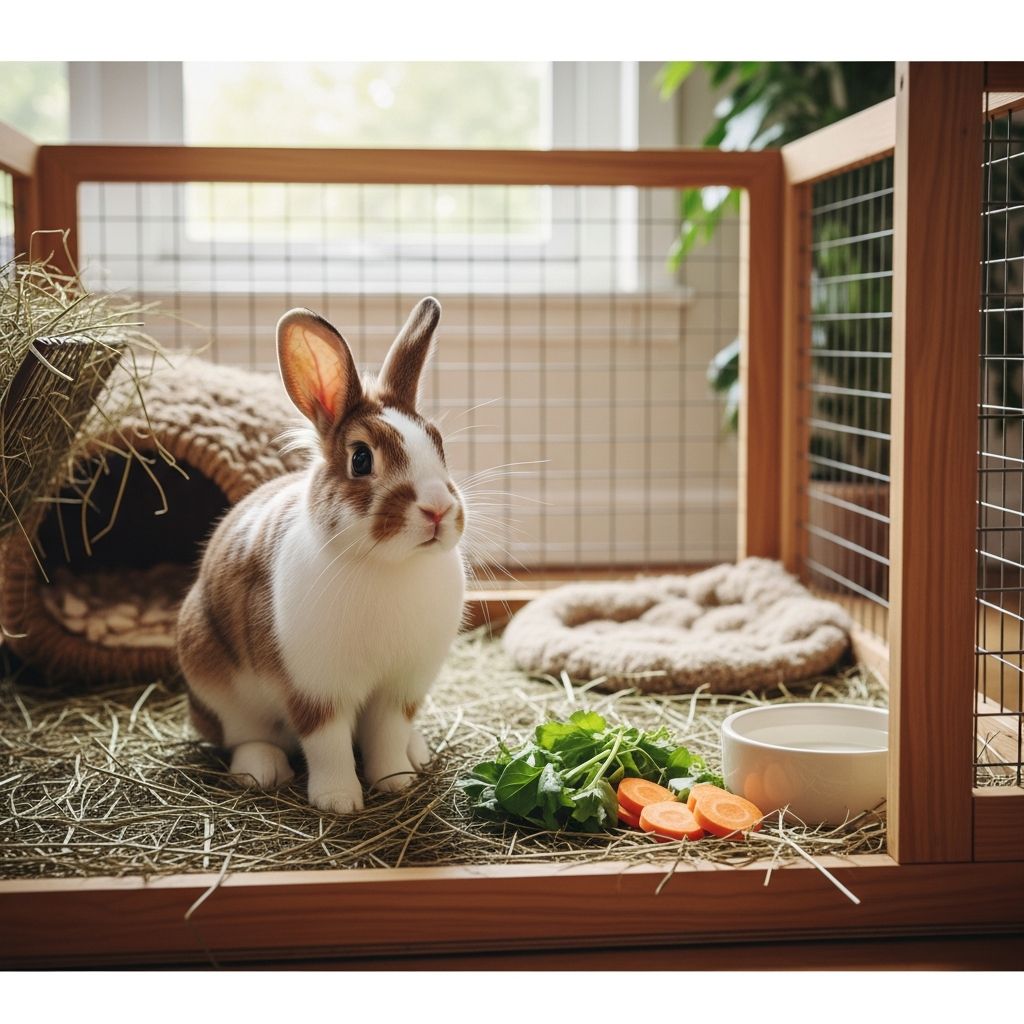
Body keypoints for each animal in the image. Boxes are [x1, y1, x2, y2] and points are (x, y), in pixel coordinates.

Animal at [177, 297, 466, 814]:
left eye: (438, 444)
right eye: (361, 459)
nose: (437, 509)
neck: (389, 566)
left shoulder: (401, 690)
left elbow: (387, 734)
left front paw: (396, 781)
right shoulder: (315, 691)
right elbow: (328, 744)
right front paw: (339, 801)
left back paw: (417, 753)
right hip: (212, 677)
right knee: (243, 735)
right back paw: (261, 770)